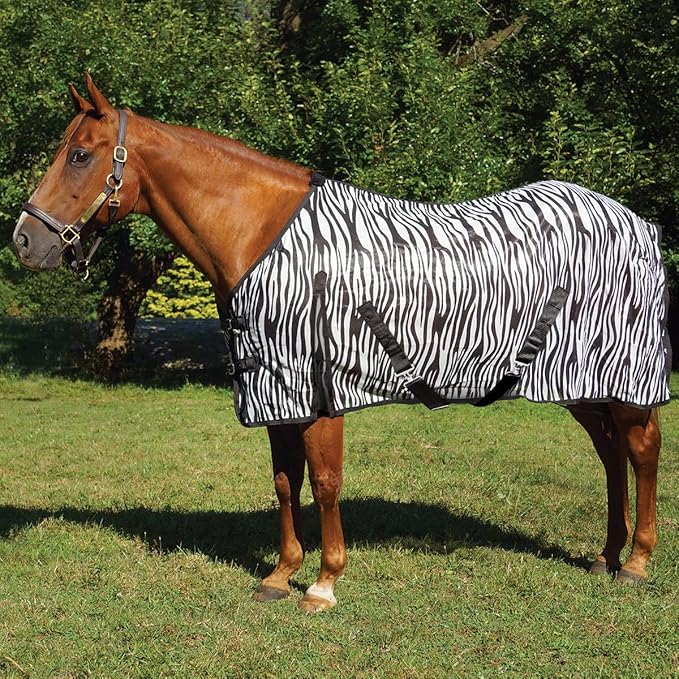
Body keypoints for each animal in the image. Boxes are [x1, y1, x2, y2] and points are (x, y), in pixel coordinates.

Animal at [13, 75, 667, 612]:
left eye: (79, 156)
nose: (23, 241)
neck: (261, 236)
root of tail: (637, 222)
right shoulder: (276, 393)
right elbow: (285, 482)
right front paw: (280, 576)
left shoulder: (320, 392)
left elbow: (325, 483)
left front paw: (324, 583)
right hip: (581, 384)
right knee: (611, 455)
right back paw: (605, 556)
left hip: (622, 379)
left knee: (641, 451)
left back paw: (636, 562)